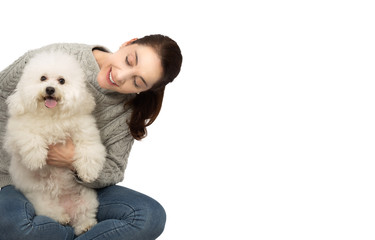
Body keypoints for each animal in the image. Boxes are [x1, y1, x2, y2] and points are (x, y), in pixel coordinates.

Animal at [4, 50, 106, 234]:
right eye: (43, 78)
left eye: (62, 81)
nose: (50, 89)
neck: (52, 116)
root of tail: (66, 208)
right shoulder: (16, 133)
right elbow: (29, 137)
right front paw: (36, 159)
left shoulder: (86, 131)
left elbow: (89, 149)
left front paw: (88, 172)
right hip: (41, 199)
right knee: (50, 212)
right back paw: (61, 218)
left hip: (86, 198)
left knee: (84, 214)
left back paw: (84, 226)